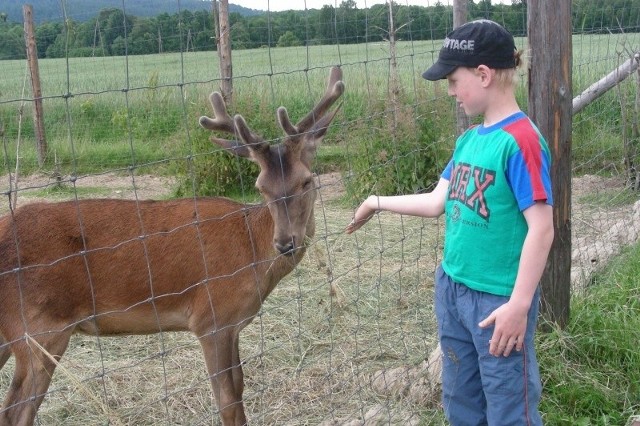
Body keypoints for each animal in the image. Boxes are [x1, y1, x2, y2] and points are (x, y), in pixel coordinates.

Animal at [0, 66, 344, 426]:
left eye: (306, 181)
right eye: (260, 186)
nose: (285, 242)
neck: (252, 250)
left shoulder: (232, 325)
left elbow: (240, 387)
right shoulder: (211, 319)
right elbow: (229, 400)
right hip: (39, 329)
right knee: (15, 411)